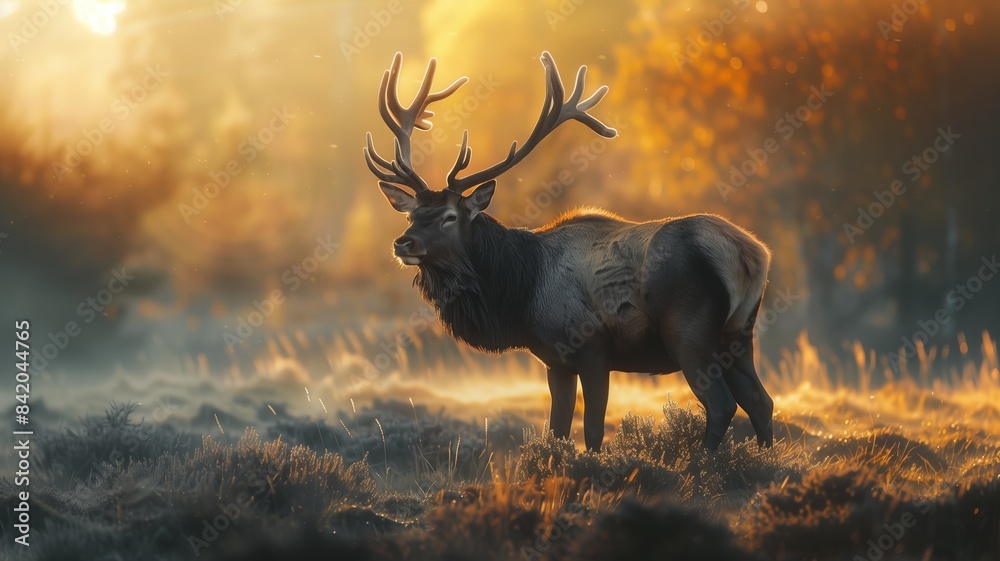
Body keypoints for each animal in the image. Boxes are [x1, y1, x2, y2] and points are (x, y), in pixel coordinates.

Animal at [363, 51, 774, 452]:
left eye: (450, 217)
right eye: (412, 214)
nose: (403, 243)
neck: (519, 291)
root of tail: (752, 254)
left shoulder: (591, 346)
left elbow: (591, 433)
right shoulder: (555, 361)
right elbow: (557, 431)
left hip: (689, 330)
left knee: (722, 404)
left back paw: (702, 464)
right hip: (738, 332)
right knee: (761, 401)